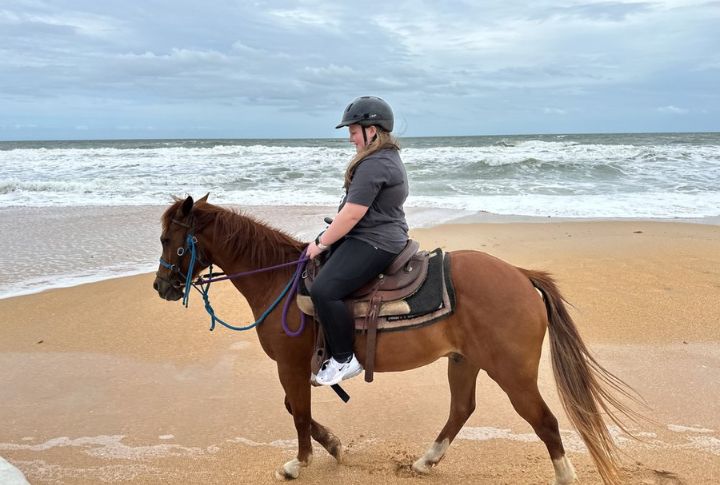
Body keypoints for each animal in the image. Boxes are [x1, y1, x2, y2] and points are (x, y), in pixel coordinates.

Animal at [153, 195, 639, 484]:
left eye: (166, 238)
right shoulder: (295, 368)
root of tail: (520, 275)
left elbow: (297, 412)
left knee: (545, 422)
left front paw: (301, 461)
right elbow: (296, 409)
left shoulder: (289, 364)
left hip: (512, 372)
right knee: (462, 409)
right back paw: (425, 461)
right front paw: (333, 446)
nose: (161, 286)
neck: (280, 282)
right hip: (464, 361)